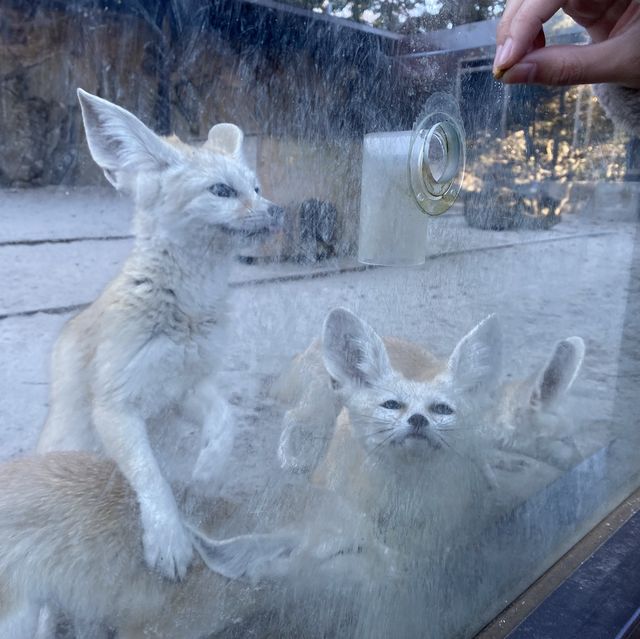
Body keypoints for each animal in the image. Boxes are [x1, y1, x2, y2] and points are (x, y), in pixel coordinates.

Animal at [36, 87, 282, 584]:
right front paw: (167, 537)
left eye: (256, 188)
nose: (277, 211)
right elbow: (151, 478)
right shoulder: (116, 406)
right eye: (222, 191)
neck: (186, 309)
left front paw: (208, 472)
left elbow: (225, 421)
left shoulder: (183, 389)